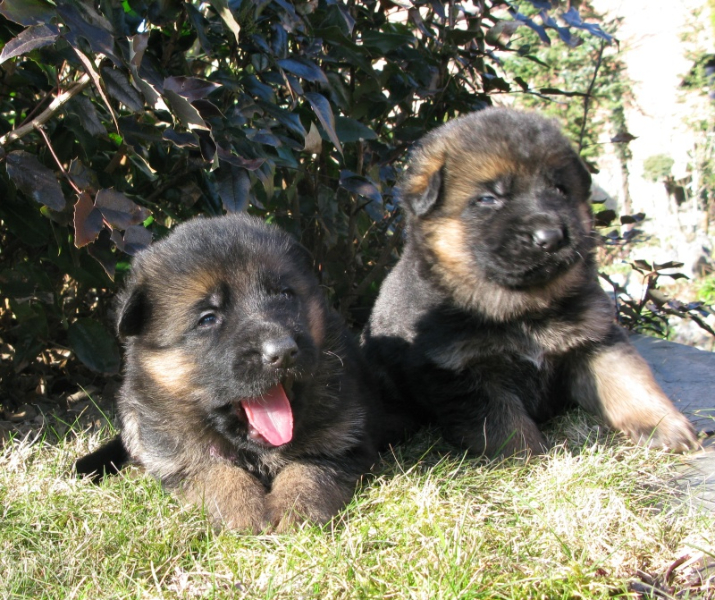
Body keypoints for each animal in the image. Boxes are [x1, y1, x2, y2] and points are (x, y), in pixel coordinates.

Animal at [75, 213, 380, 532]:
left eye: (285, 295)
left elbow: (308, 470)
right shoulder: (181, 458)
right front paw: (245, 509)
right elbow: (216, 473)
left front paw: (293, 511)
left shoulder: (344, 443)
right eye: (208, 319)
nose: (283, 352)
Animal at [361, 107, 698, 457]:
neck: (522, 310)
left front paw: (663, 426)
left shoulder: (596, 338)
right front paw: (531, 460)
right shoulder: (462, 372)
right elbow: (505, 426)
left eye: (560, 189)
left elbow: (628, 380)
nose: (550, 237)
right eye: (488, 198)